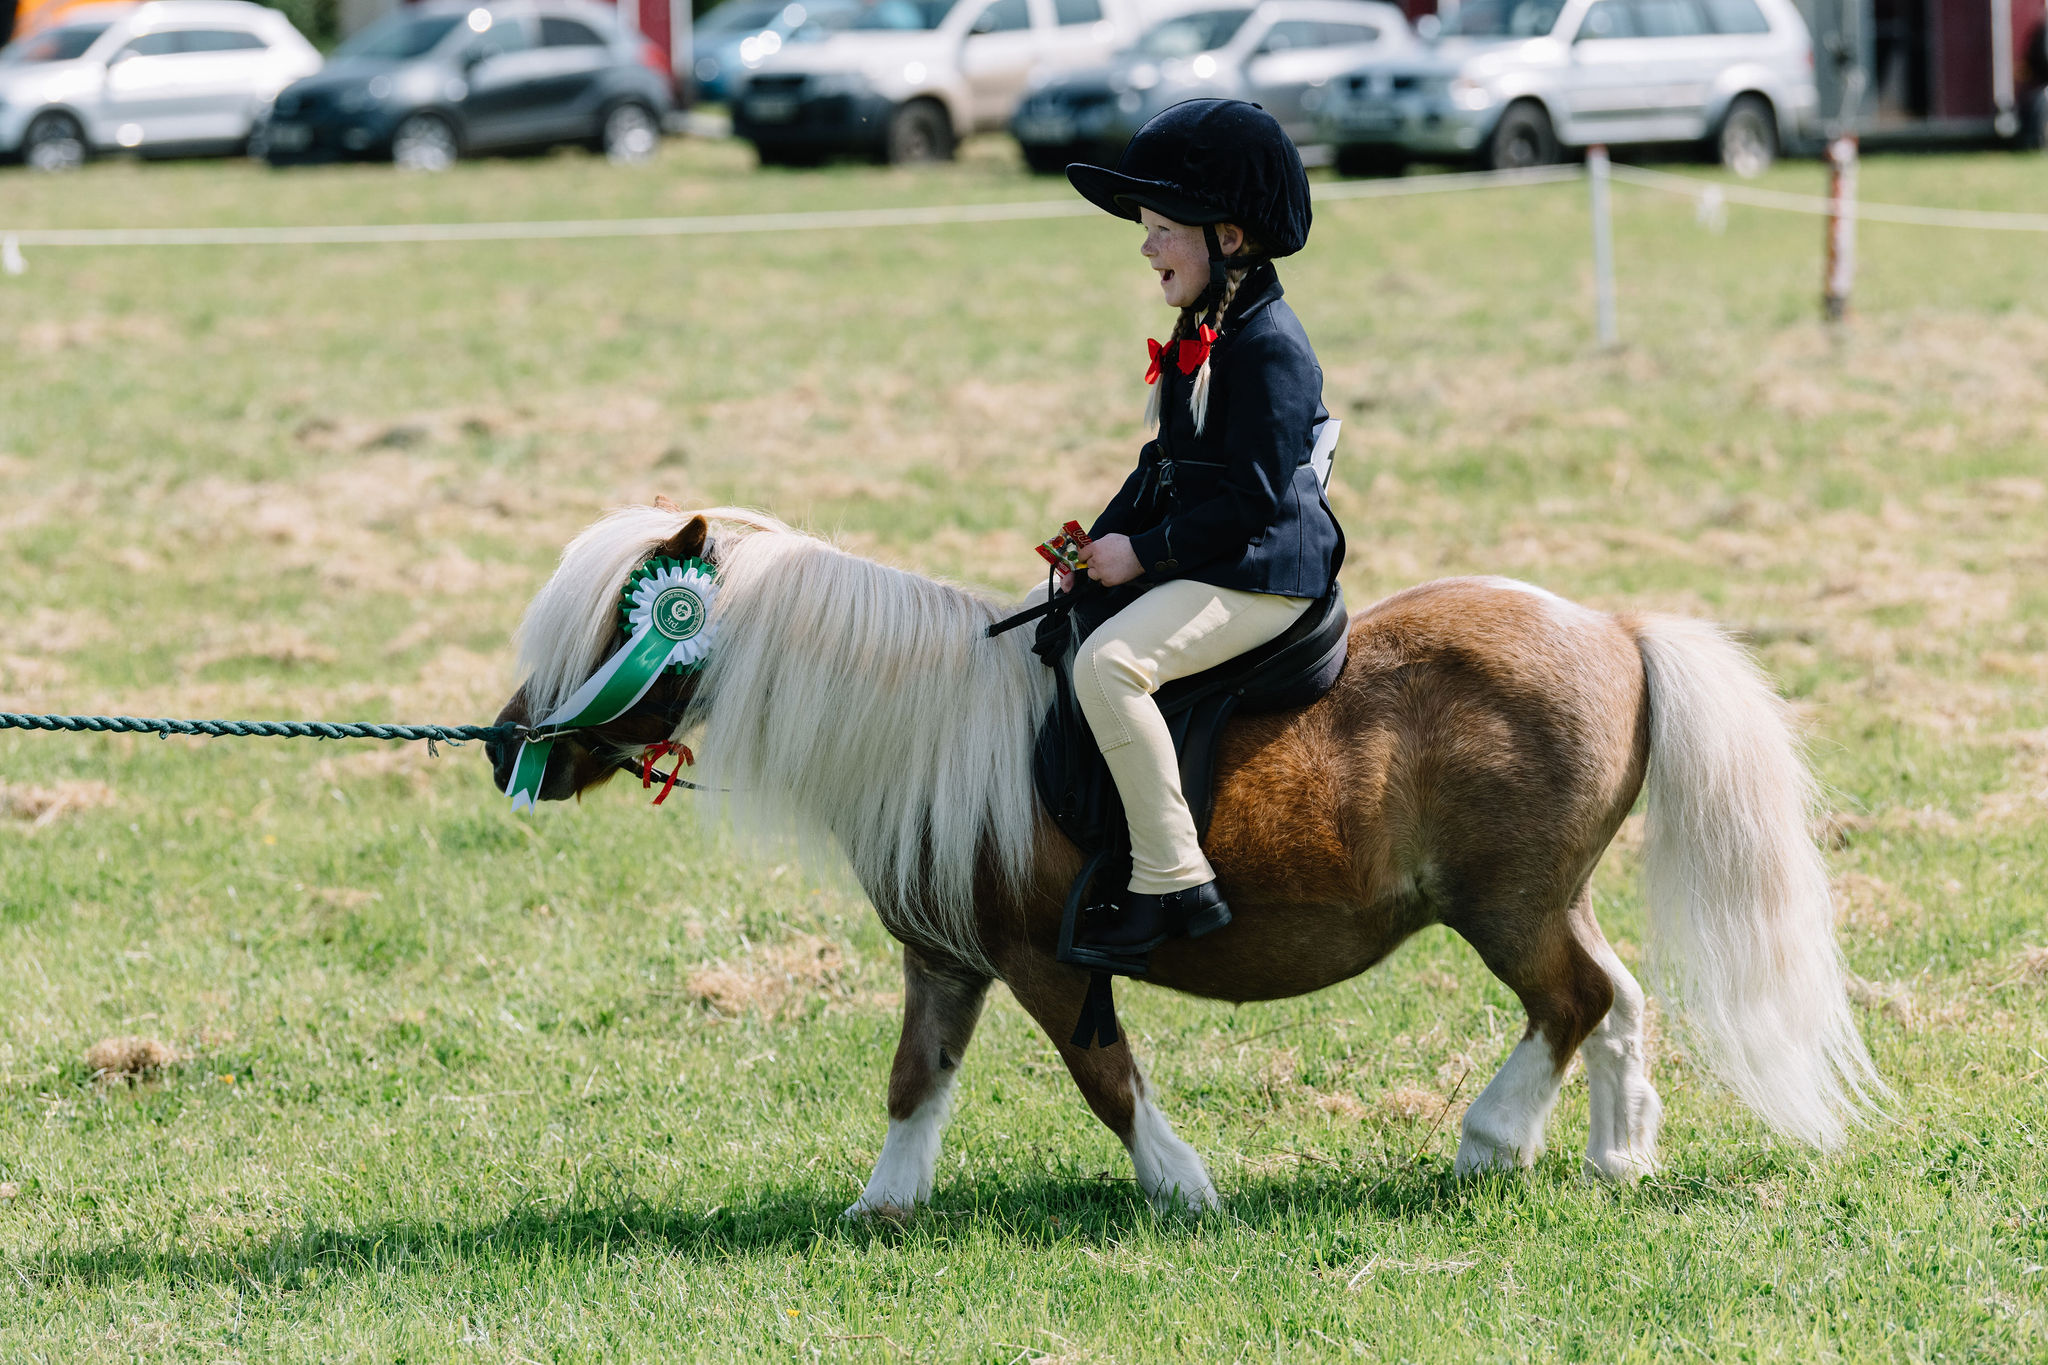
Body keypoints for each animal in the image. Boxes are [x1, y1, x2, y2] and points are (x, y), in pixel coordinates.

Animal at [495, 507, 1884, 1211]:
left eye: (615, 628)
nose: (510, 744)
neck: (927, 725)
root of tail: (1610, 628)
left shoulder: (1044, 965)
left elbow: (1107, 1079)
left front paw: (1182, 1185)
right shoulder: (944, 961)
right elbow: (913, 1082)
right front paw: (881, 1207)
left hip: (1505, 908)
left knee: (1571, 1002)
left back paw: (1491, 1143)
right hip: (1547, 899)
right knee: (1615, 1002)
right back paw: (1616, 1153)